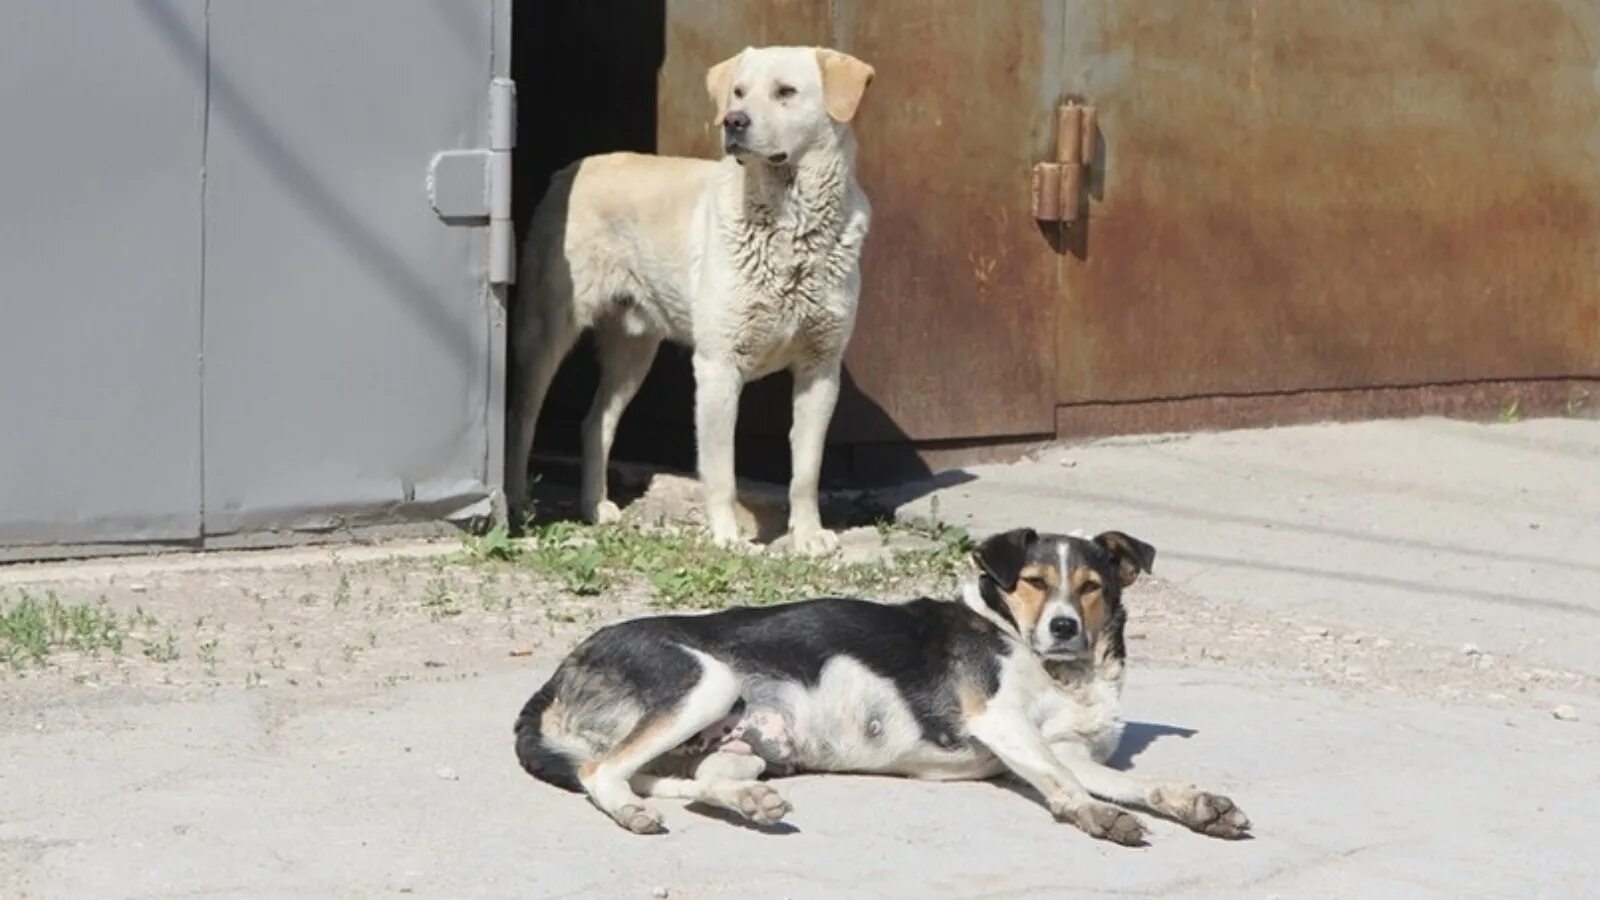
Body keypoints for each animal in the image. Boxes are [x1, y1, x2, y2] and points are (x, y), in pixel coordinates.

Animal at [512, 525, 1248, 839]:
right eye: (1034, 582)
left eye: (1092, 587)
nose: (1064, 626)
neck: (1061, 671)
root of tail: (561, 671)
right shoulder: (1001, 722)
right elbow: (1065, 785)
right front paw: (1097, 817)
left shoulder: (1065, 749)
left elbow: (1135, 781)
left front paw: (1194, 804)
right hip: (706, 683)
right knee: (602, 772)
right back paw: (631, 812)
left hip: (744, 743)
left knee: (697, 782)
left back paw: (753, 804)